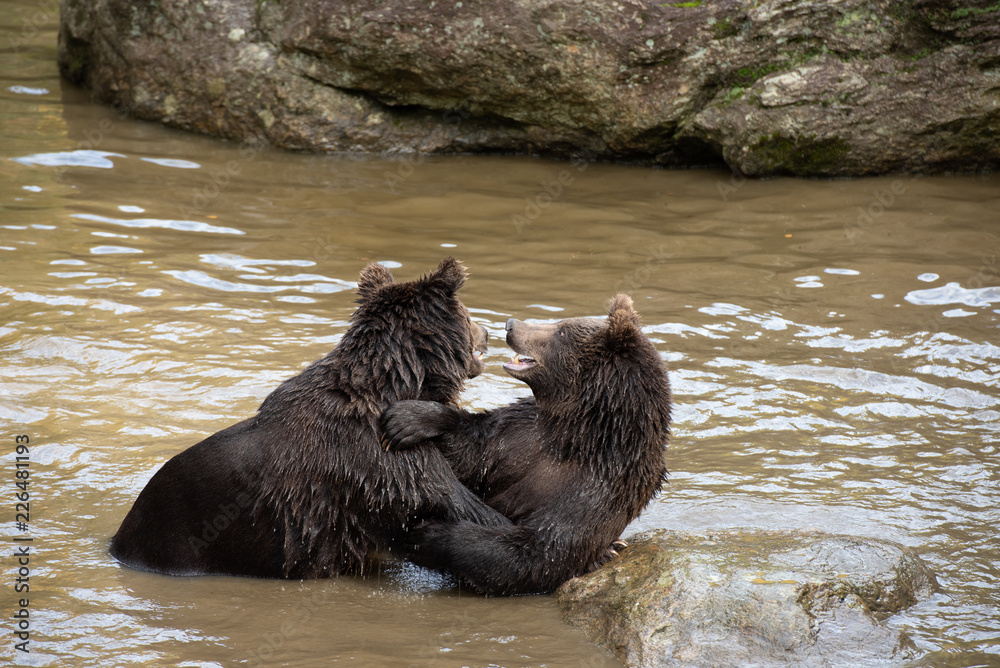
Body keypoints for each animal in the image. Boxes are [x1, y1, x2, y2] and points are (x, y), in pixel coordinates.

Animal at [110, 258, 509, 579]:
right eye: (469, 316)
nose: (489, 331)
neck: (396, 387)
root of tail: (117, 543)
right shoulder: (389, 463)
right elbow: (462, 505)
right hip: (177, 541)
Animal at [379, 294, 671, 595]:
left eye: (560, 331)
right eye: (561, 323)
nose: (511, 325)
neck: (574, 434)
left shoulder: (596, 488)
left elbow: (538, 552)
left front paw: (428, 534)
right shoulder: (521, 434)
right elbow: (473, 451)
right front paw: (407, 418)